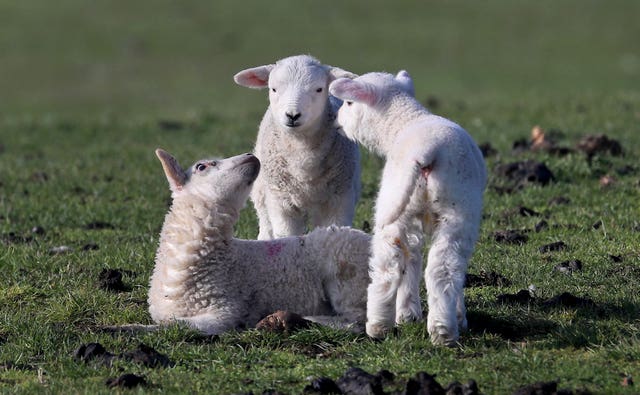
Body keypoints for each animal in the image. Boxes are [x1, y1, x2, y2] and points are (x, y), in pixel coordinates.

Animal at [148, 150, 372, 336]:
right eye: (202, 167)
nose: (250, 155)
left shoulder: (225, 310)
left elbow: (177, 324)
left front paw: (138, 329)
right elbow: (171, 322)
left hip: (347, 278)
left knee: (355, 322)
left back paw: (302, 319)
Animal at [232, 54, 362, 240]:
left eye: (319, 89)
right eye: (273, 89)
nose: (292, 115)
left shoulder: (339, 198)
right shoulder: (281, 200)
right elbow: (286, 234)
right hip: (261, 191)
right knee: (265, 222)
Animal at [330, 70, 484, 346]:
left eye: (348, 103)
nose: (335, 121)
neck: (404, 120)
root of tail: (427, 151)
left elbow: (410, 261)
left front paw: (407, 314)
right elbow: (412, 260)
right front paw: (409, 314)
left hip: (419, 203)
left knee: (400, 269)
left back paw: (389, 327)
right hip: (449, 208)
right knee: (434, 268)